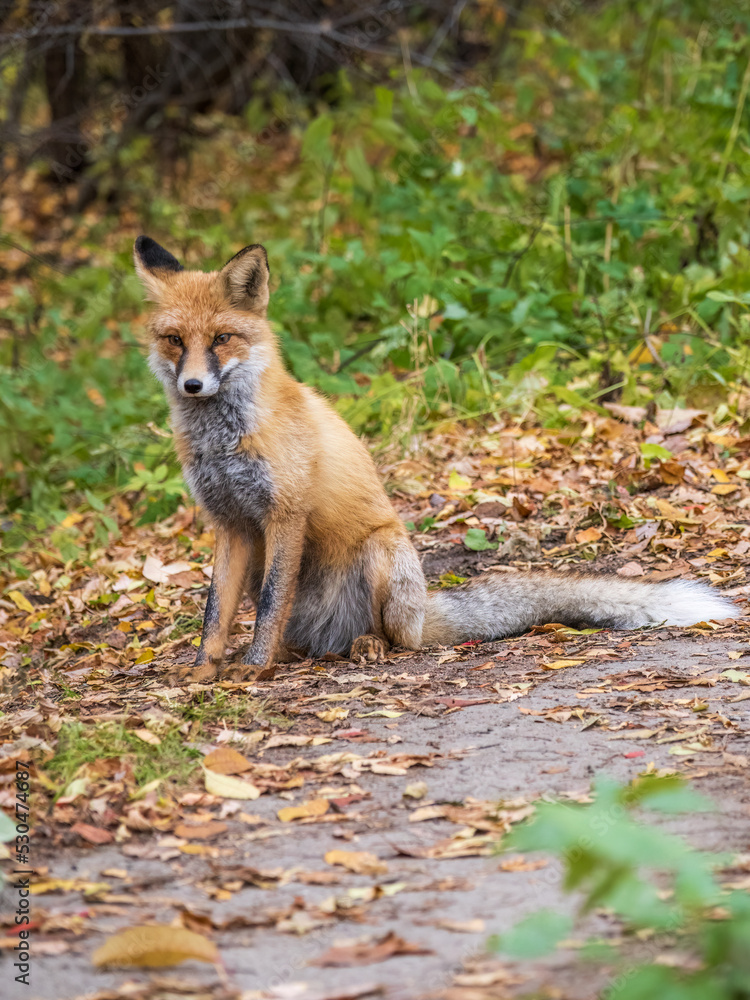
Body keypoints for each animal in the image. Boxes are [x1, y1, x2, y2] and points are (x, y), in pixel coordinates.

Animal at [133, 236, 737, 682]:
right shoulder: (232, 524)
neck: (222, 440)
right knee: (309, 643)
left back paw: (367, 646)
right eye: (175, 340)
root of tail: (424, 615)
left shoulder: (284, 514)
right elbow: (217, 612)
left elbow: (266, 605)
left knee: (397, 642)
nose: (192, 385)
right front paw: (204, 671)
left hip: (383, 554)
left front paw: (254, 670)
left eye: (221, 338)